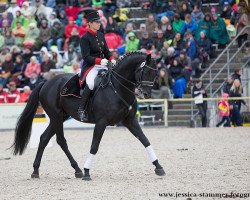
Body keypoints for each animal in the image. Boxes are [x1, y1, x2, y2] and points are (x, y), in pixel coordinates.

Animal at [13, 51, 166, 180]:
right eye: (145, 71)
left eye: (156, 73)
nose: (146, 94)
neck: (117, 89)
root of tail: (47, 82)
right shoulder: (101, 122)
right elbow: (94, 146)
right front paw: (87, 171)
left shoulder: (130, 121)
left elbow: (145, 141)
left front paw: (158, 167)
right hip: (56, 116)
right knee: (61, 140)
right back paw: (78, 170)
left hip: (60, 117)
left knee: (44, 138)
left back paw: (37, 170)